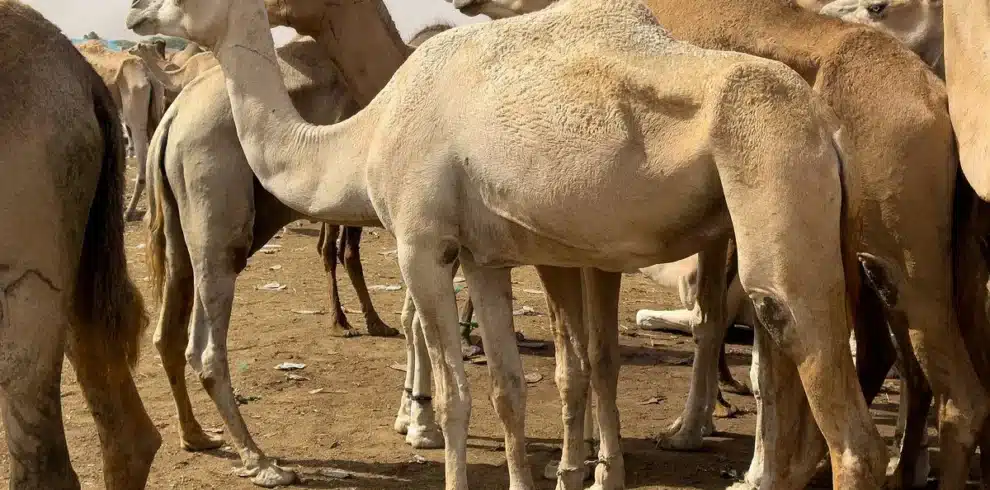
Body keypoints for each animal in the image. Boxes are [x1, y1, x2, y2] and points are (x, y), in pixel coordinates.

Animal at [128, 2, 892, 490]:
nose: (136, 12)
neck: (366, 134)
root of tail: (825, 128)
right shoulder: (484, 256)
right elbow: (507, 387)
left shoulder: (421, 245)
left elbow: (458, 392)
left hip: (773, 170)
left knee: (844, 421)